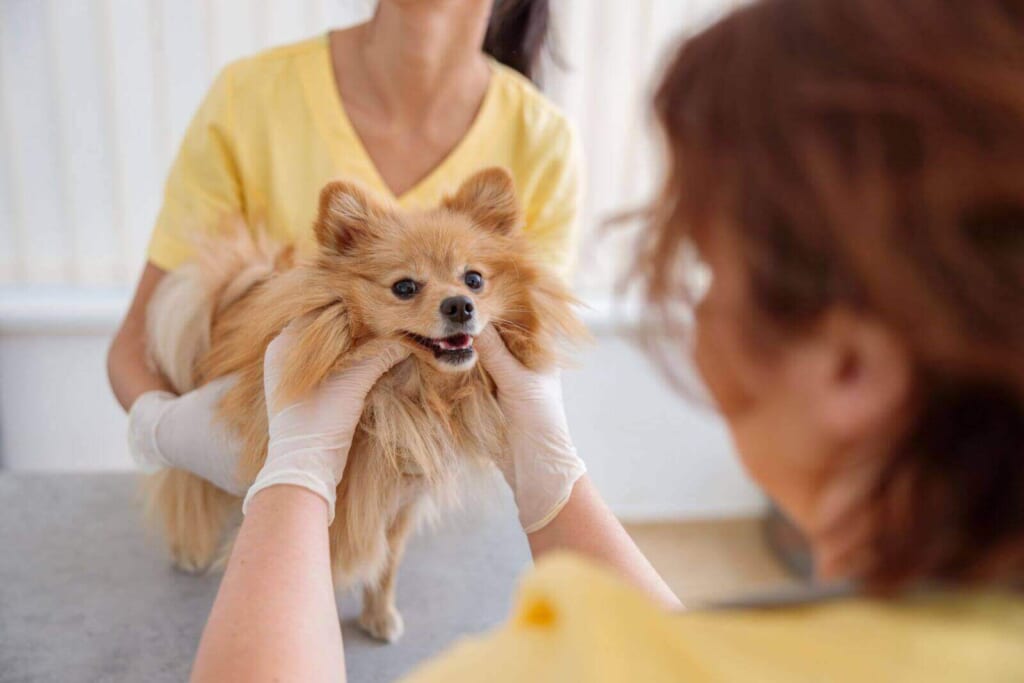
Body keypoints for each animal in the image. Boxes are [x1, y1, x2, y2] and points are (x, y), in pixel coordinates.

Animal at [148, 167, 589, 643]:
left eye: (473, 279)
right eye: (405, 287)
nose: (460, 305)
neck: (408, 392)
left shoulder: (399, 506)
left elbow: (385, 566)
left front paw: (378, 614)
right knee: (186, 481)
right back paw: (187, 547)